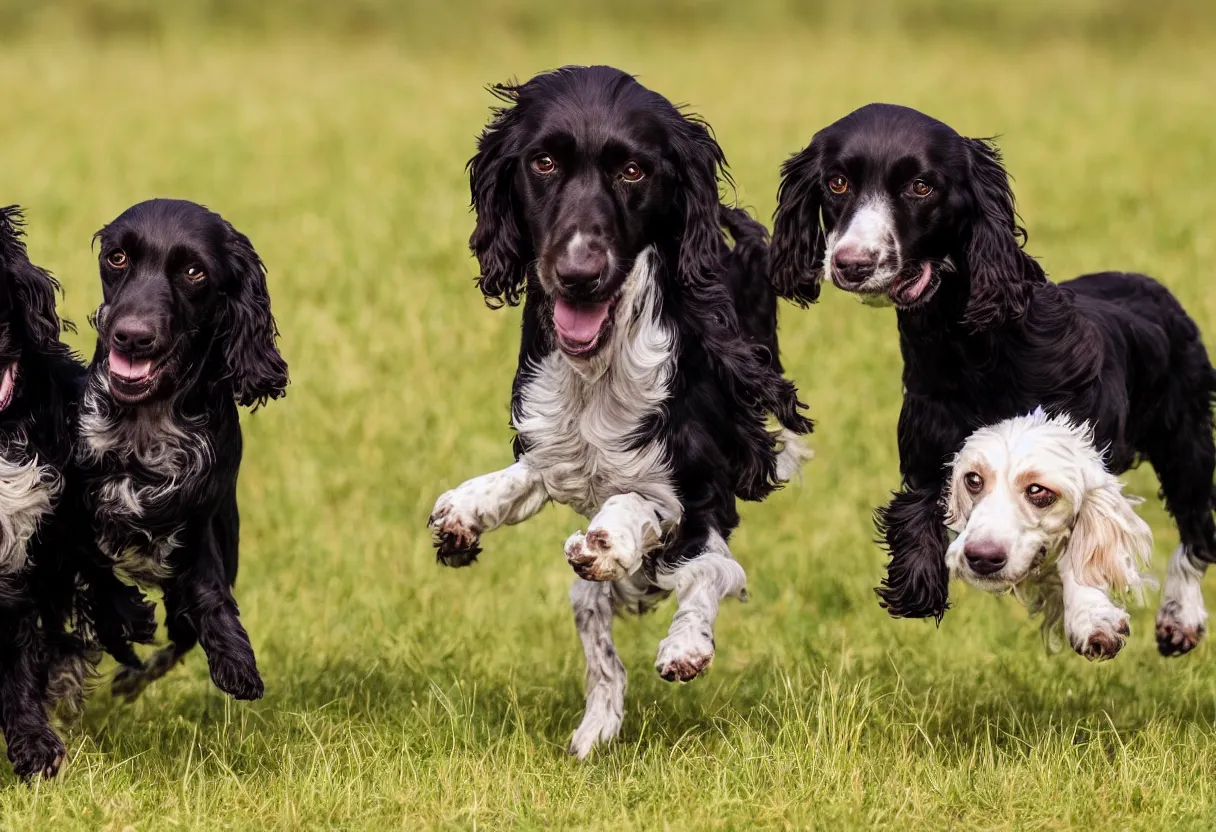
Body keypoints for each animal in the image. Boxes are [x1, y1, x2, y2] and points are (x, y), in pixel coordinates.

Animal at [80, 199, 289, 700]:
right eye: (117, 258)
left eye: (194, 271)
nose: (132, 336)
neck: (145, 426)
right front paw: (125, 617)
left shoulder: (198, 530)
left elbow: (209, 599)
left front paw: (235, 661)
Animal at [423, 66, 812, 759]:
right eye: (543, 162)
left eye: (634, 171)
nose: (579, 272)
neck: (594, 377)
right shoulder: (554, 446)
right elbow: (530, 475)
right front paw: (464, 512)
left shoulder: (700, 490)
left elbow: (651, 509)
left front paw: (612, 537)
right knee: (599, 630)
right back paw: (595, 729)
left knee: (713, 574)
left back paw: (681, 640)